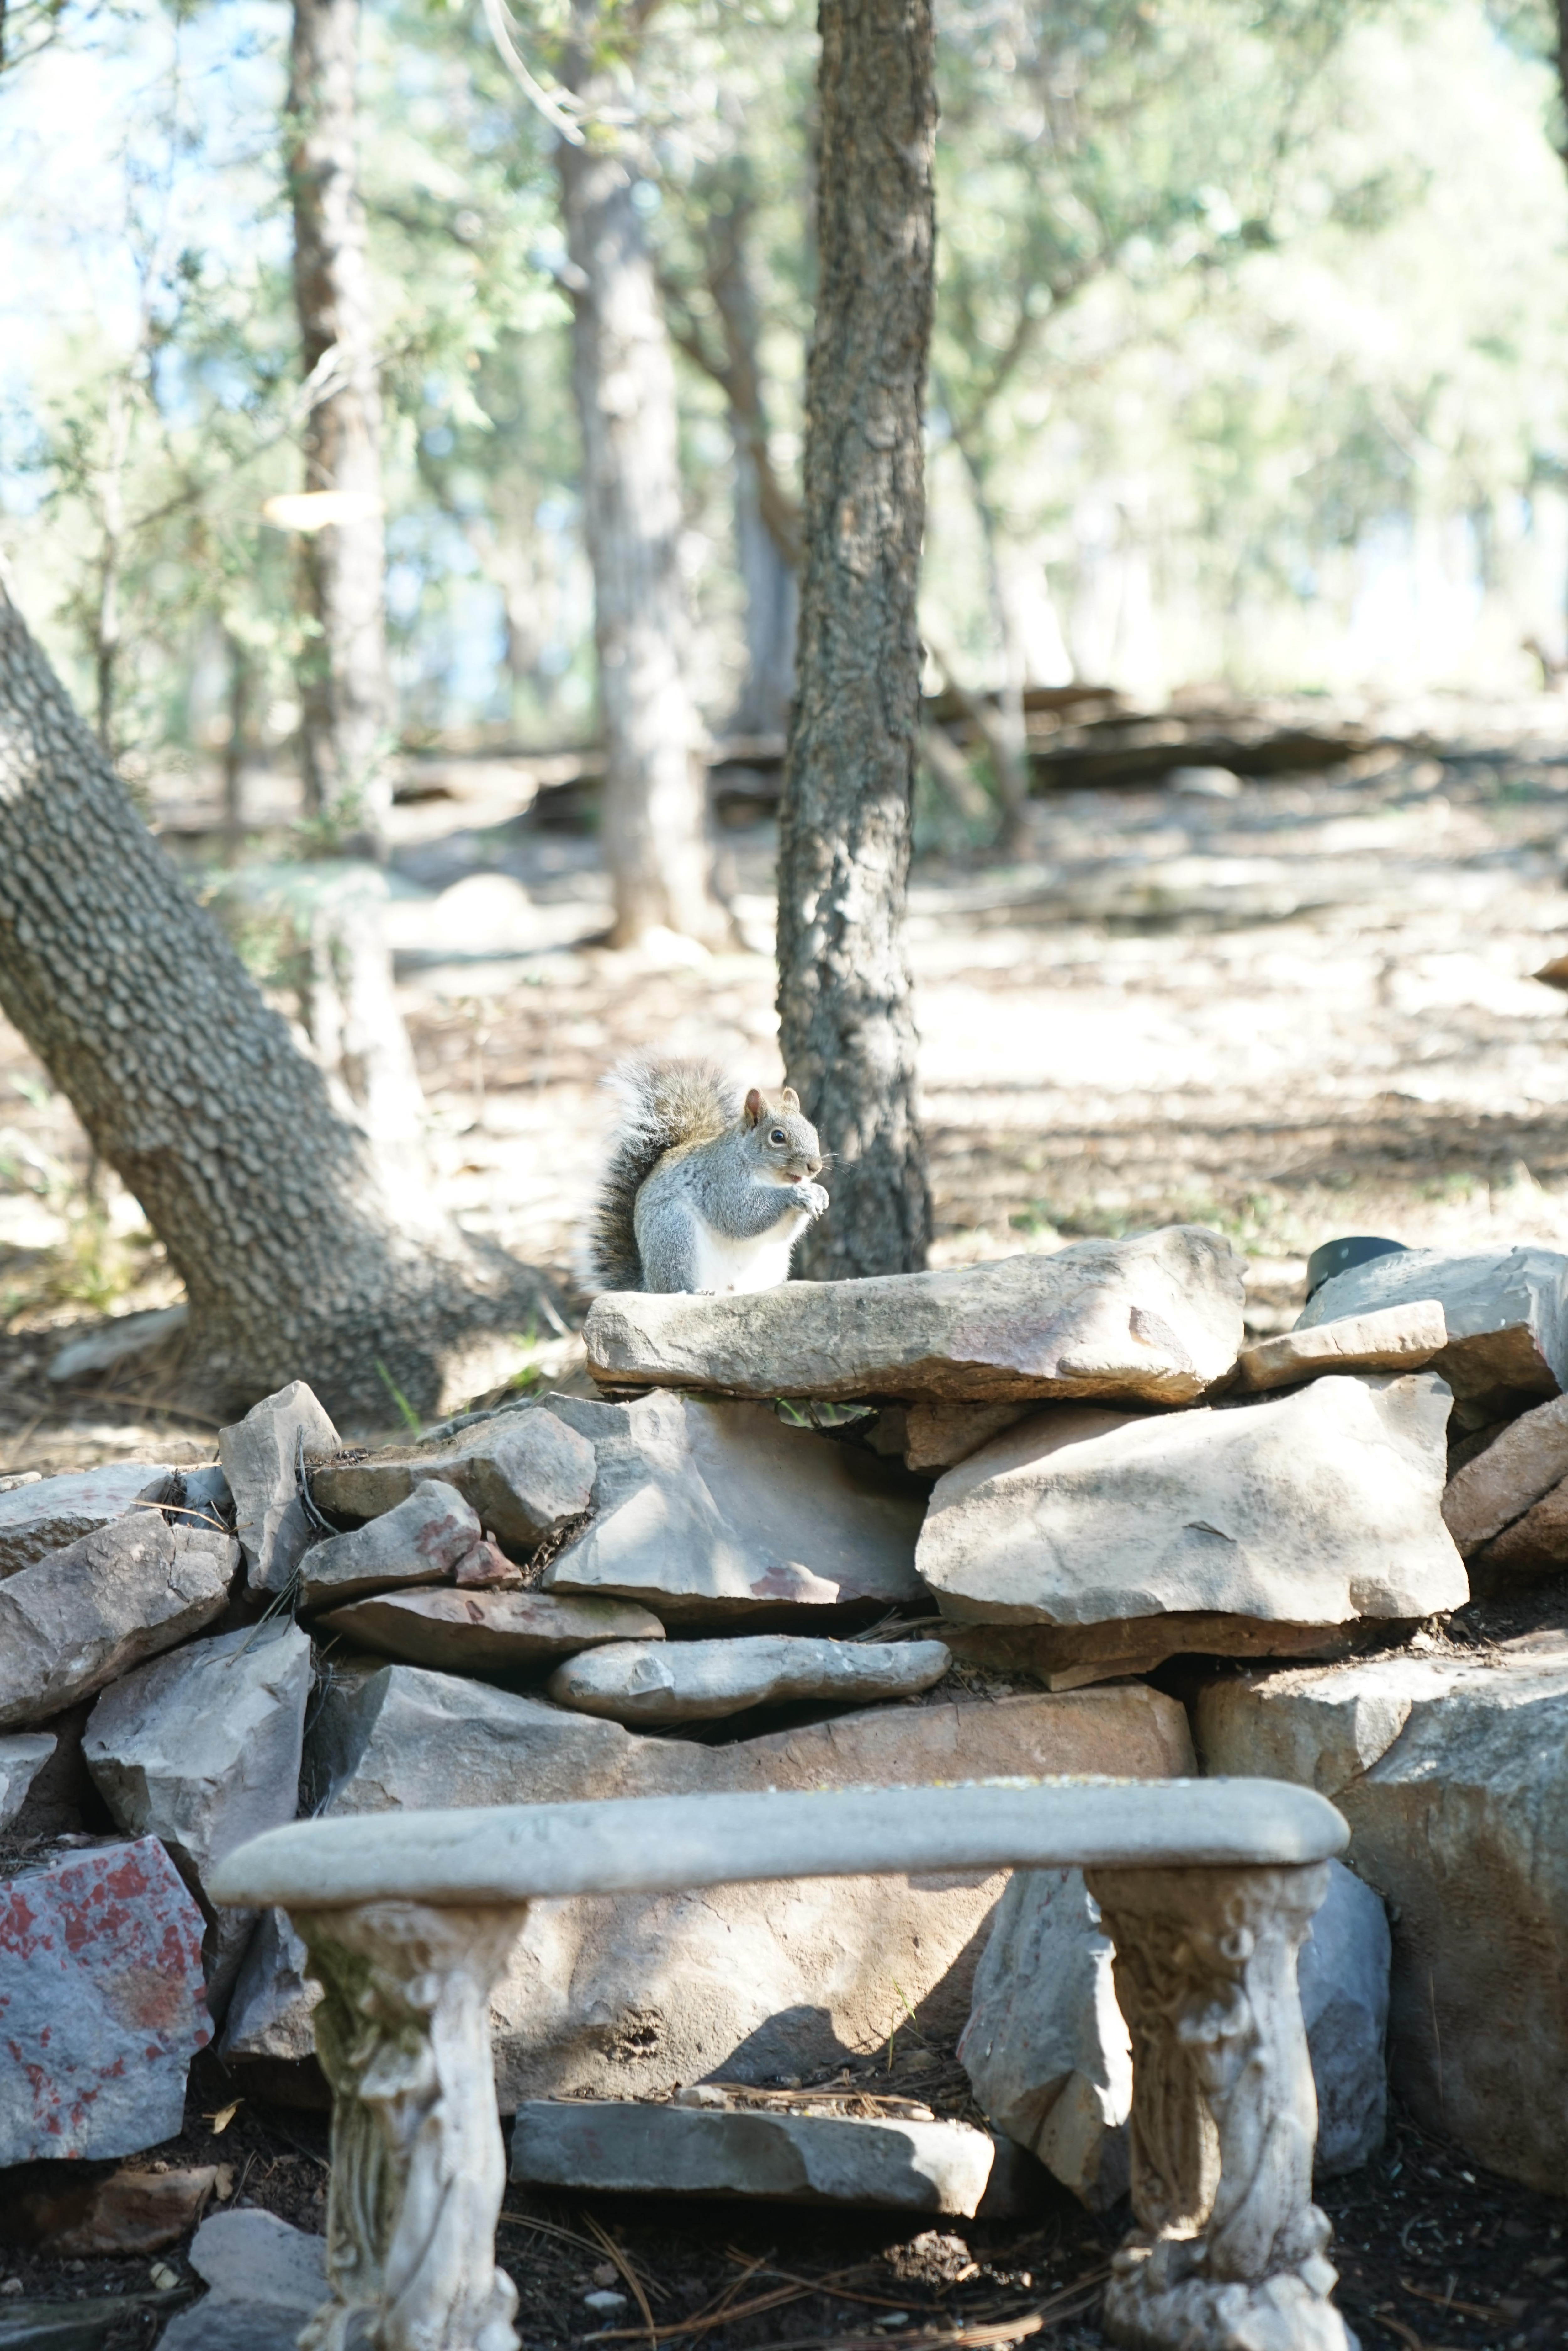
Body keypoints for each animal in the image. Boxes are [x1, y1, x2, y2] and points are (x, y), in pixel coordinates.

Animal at [585, 1053, 829, 1295]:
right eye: (778, 1137)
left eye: (812, 1131)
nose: (815, 1167)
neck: (771, 1179)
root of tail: (649, 1287)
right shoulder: (722, 1181)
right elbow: (743, 1216)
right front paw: (798, 1195)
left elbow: (783, 1232)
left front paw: (820, 1194)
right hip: (674, 1234)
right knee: (677, 1285)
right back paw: (696, 1292)